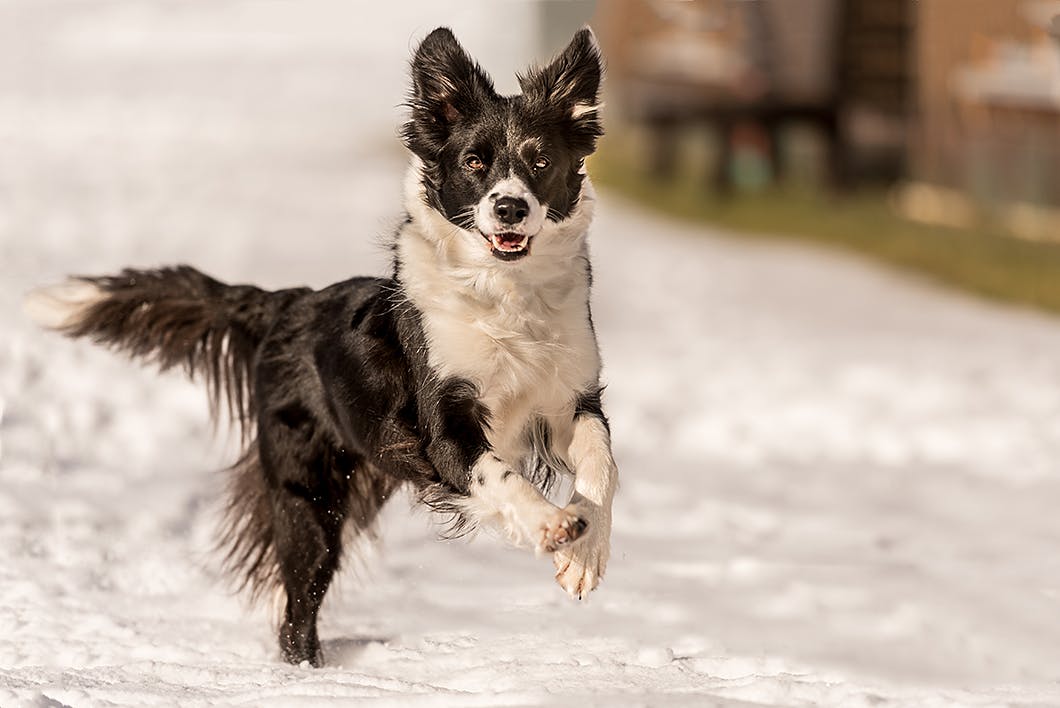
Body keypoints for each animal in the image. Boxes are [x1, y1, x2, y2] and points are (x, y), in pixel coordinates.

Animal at [24, 27, 619, 665]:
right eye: (474, 162)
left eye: (540, 161)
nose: (510, 207)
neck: (503, 292)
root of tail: (286, 304)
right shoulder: (442, 425)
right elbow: (498, 474)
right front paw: (552, 526)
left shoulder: (571, 396)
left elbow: (601, 460)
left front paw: (585, 555)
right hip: (309, 496)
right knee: (297, 607)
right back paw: (307, 671)